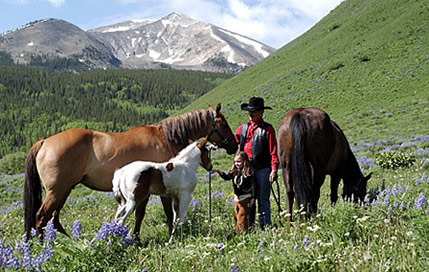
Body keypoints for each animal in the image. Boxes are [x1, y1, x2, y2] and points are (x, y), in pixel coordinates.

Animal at [24, 103, 237, 238]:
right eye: (224, 124)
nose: (234, 146)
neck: (166, 137)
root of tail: (44, 142)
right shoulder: (161, 191)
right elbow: (169, 214)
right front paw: (170, 235)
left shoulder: (144, 192)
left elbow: (140, 215)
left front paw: (136, 238)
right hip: (57, 191)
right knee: (40, 218)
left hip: (63, 191)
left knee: (52, 220)